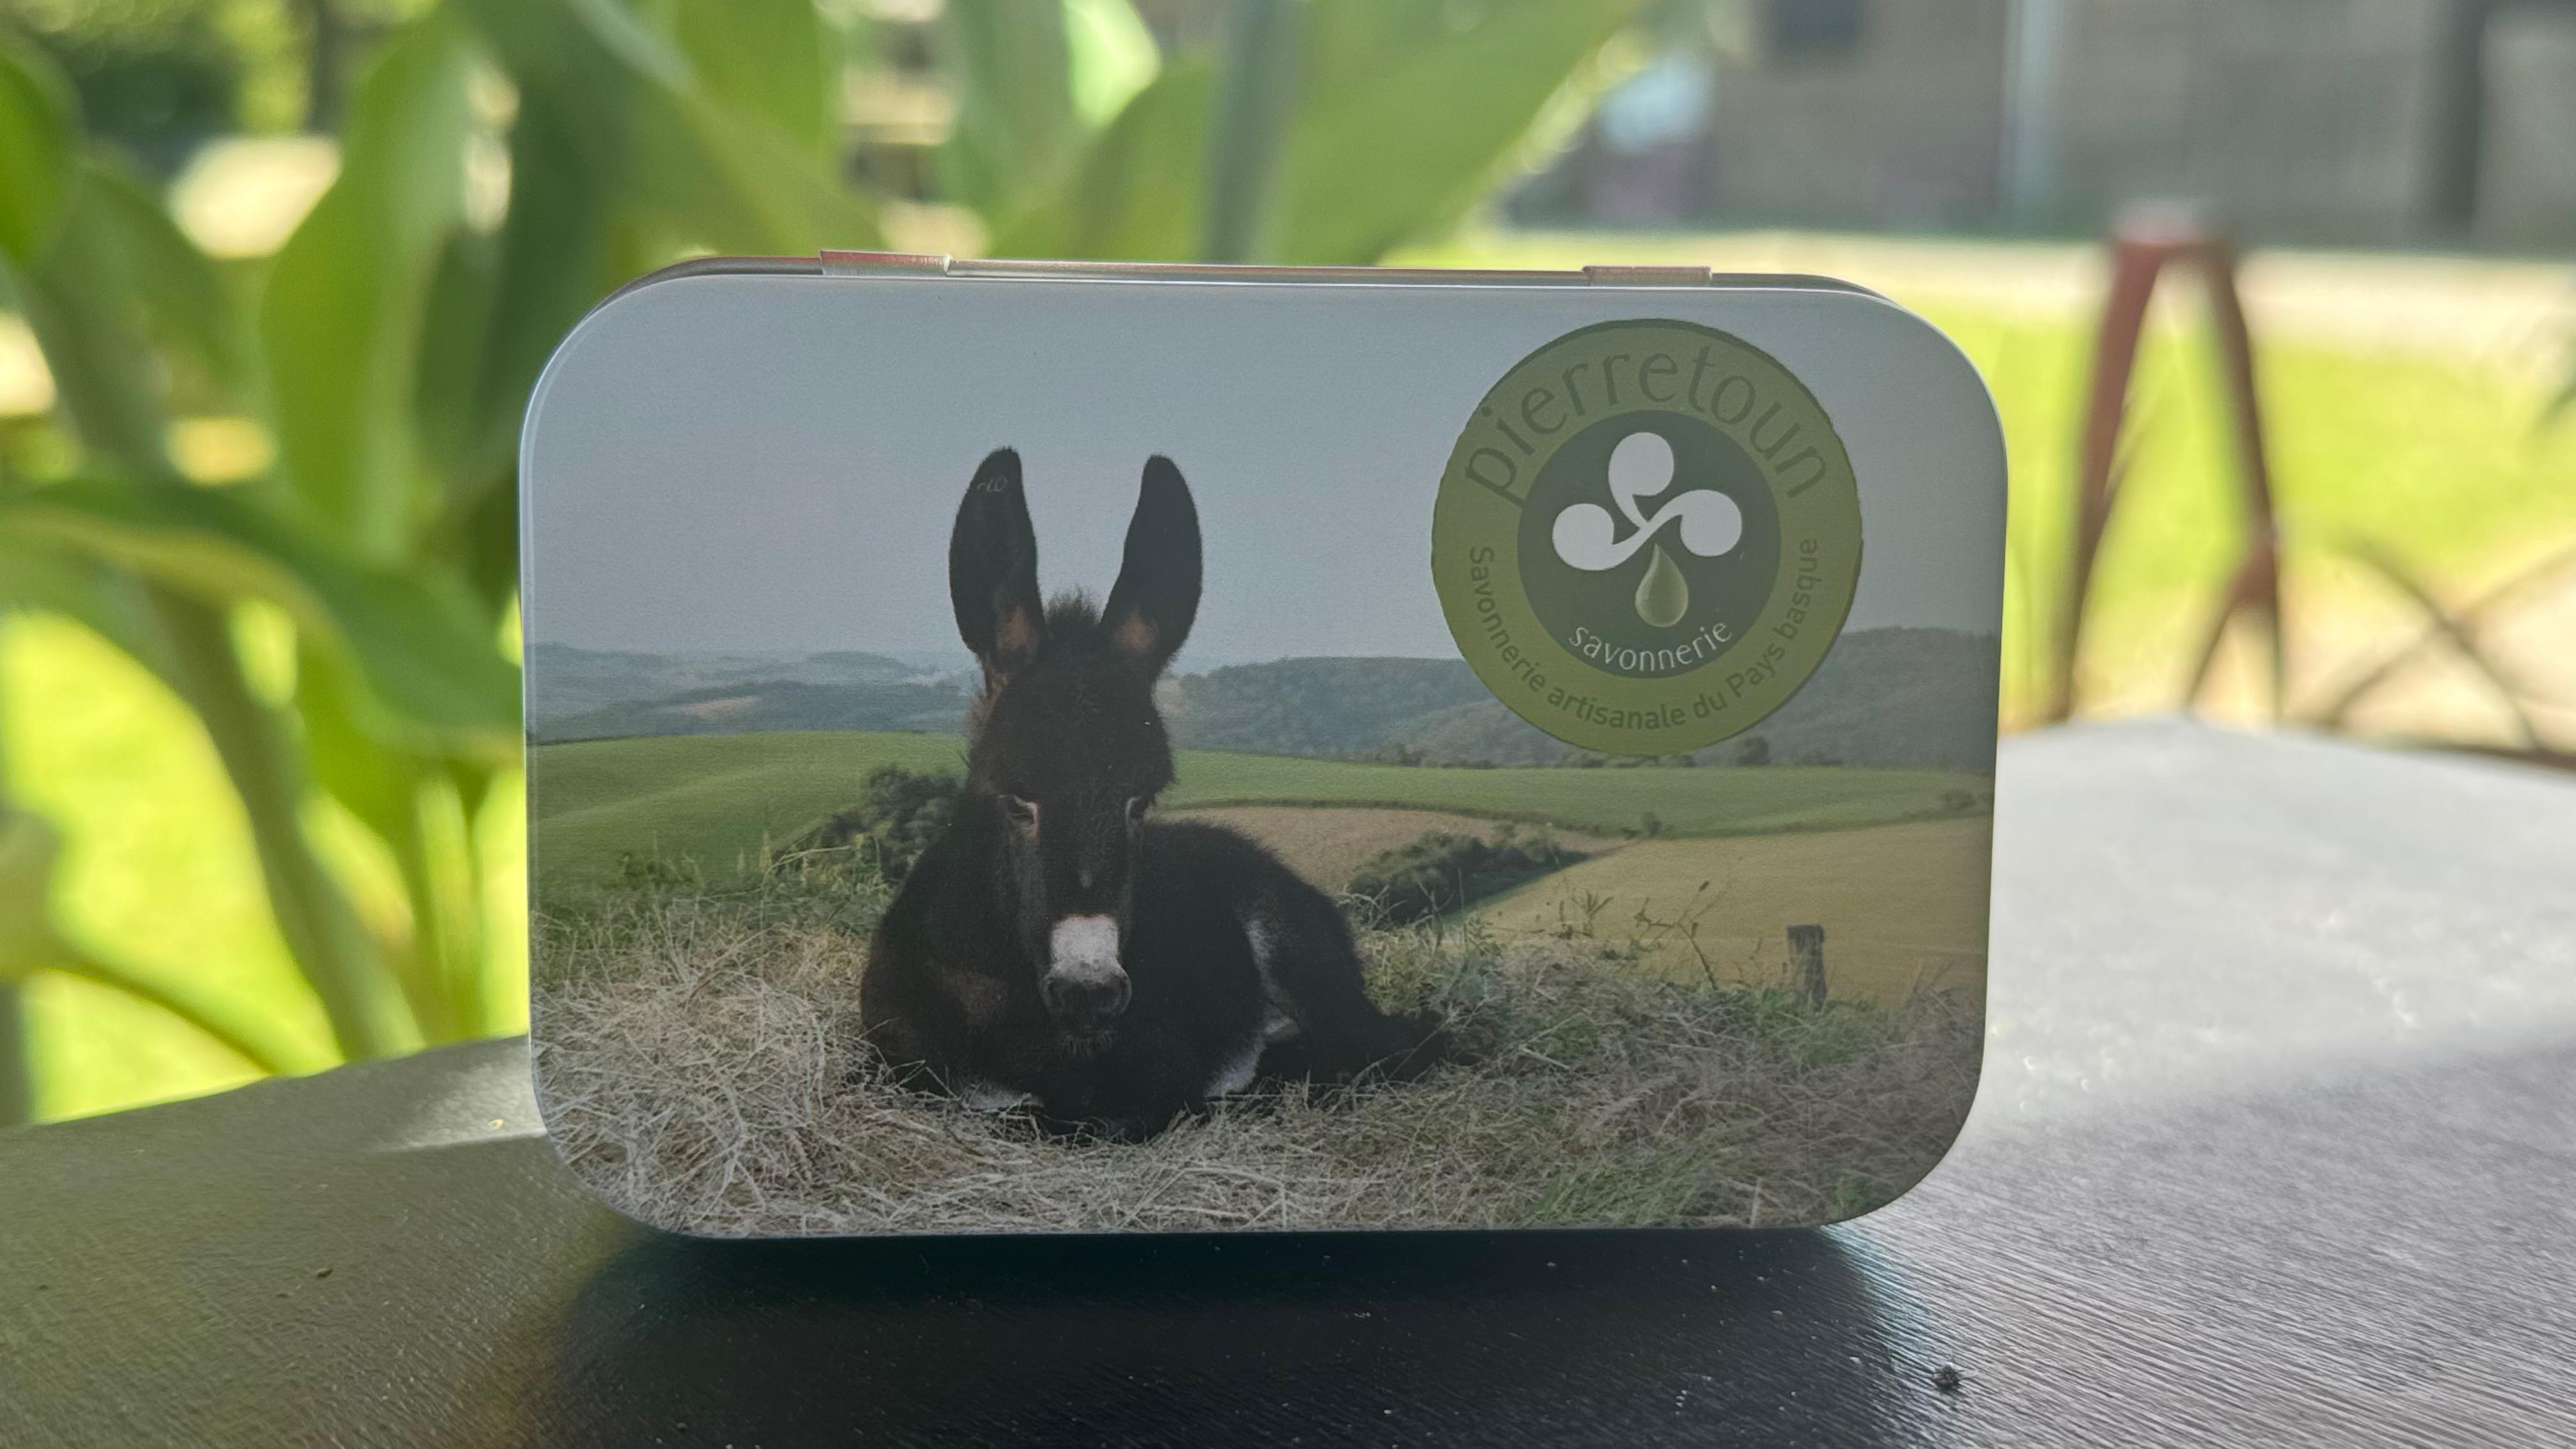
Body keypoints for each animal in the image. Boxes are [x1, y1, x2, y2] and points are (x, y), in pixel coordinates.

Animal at [859, 448, 1449, 1140]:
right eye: (1016, 801)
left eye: (1141, 802)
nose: (1089, 992)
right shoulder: (891, 1057)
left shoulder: (1159, 1074)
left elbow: (1087, 1115)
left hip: (1301, 961)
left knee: (1395, 1045)